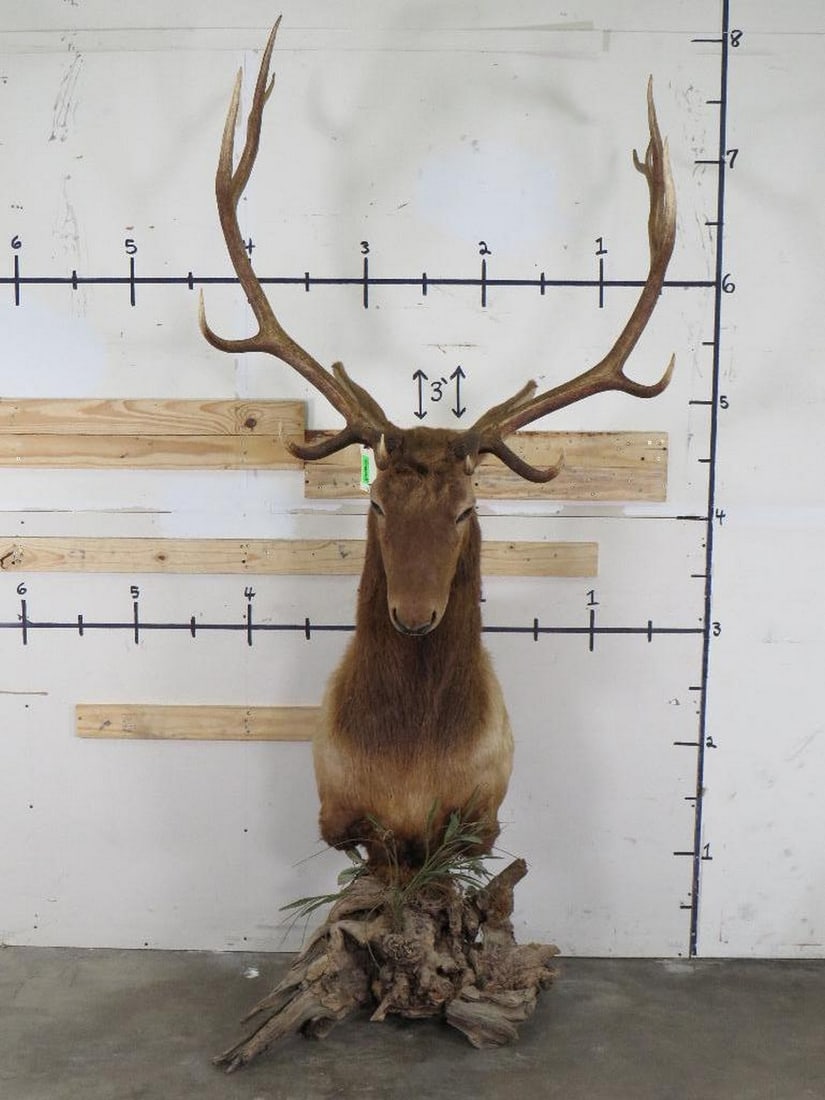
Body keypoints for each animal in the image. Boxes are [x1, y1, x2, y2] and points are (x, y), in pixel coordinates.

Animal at [199, 21, 676, 872]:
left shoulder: (482, 816)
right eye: (378, 503)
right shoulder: (341, 816)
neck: (413, 766)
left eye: (464, 509)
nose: (415, 613)